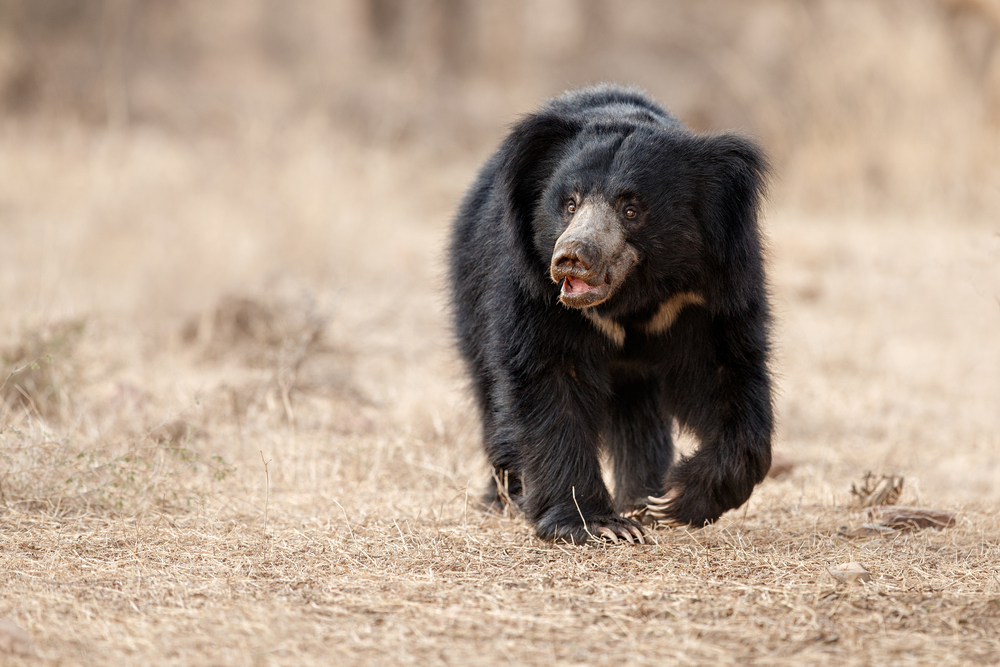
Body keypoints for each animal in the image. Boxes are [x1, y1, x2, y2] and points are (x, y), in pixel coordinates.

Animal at [448, 85, 772, 544]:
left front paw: (673, 500)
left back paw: (641, 497)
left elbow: (726, 374)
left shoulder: (709, 292)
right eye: (569, 204)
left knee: (639, 414)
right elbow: (549, 382)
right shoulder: (534, 292)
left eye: (631, 209)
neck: (630, 299)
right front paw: (598, 524)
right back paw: (505, 497)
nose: (572, 258)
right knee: (490, 394)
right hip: (470, 296)